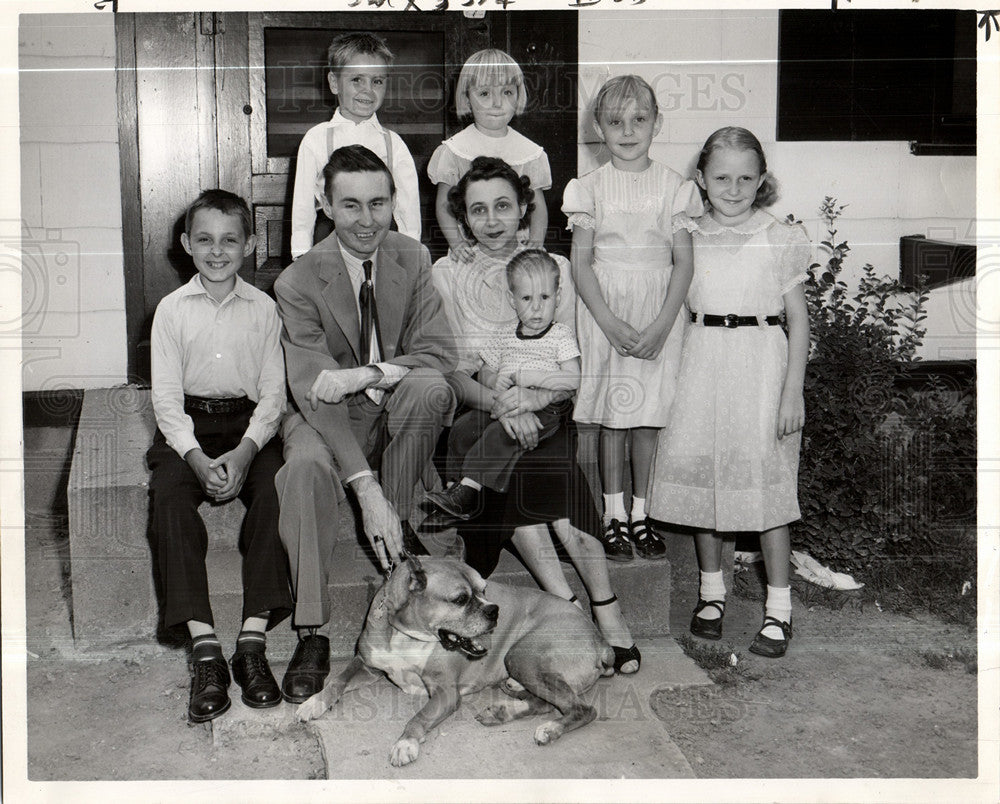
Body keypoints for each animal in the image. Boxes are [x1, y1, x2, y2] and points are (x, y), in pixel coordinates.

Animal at [292, 552, 612, 768]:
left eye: (485, 589)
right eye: (460, 599)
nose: (494, 610)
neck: (407, 635)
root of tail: (601, 640)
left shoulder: (445, 694)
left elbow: (419, 716)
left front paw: (405, 742)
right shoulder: (367, 664)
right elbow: (338, 680)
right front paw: (314, 703)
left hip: (523, 656)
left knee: (581, 708)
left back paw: (550, 729)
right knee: (546, 702)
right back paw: (504, 711)